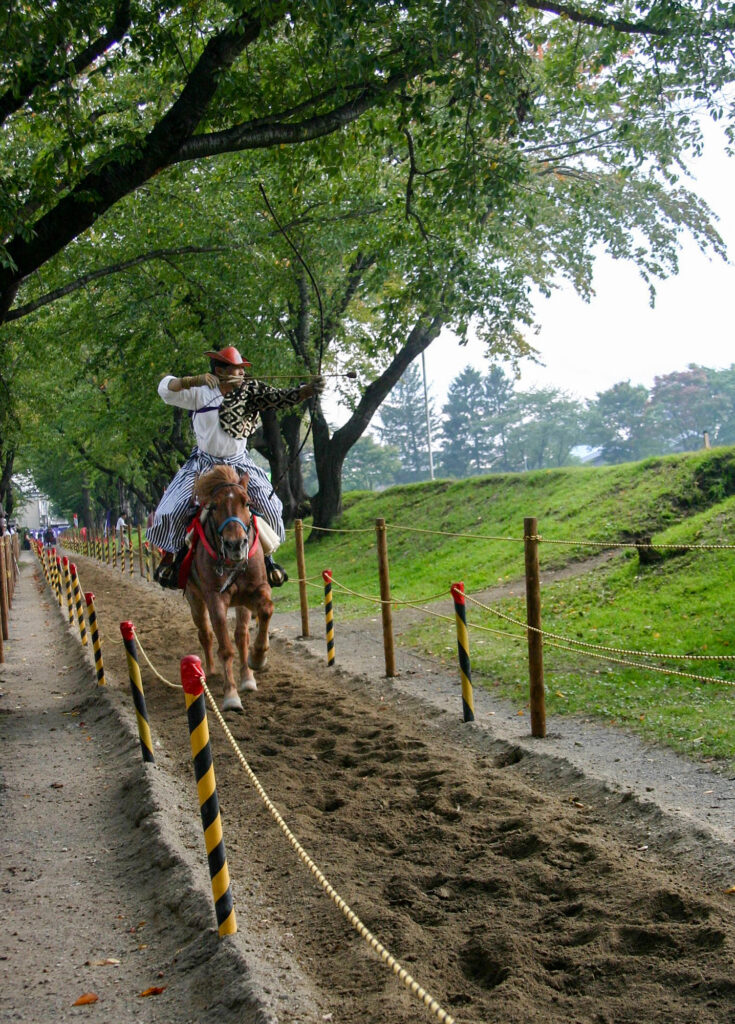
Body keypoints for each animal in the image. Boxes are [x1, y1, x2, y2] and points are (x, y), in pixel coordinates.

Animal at [184, 465, 274, 713]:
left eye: (247, 503)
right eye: (214, 506)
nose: (236, 544)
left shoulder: (257, 589)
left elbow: (265, 611)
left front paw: (258, 658)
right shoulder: (215, 598)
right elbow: (224, 647)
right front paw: (231, 695)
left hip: (241, 602)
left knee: (241, 635)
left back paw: (248, 678)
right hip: (195, 598)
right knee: (205, 633)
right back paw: (210, 671)